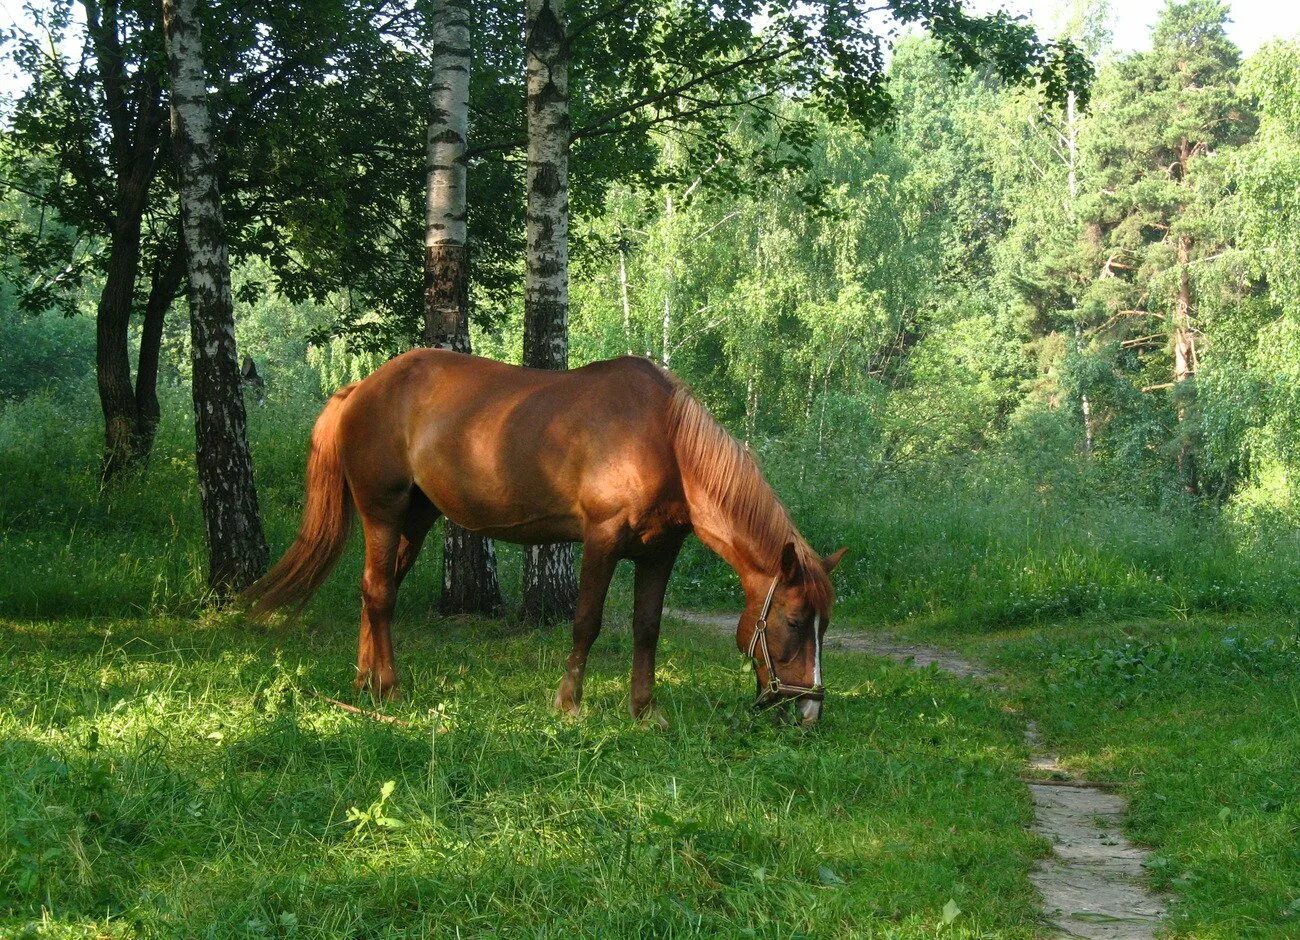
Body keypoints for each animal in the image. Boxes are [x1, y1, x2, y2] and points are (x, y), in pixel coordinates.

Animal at [243, 350, 846, 725]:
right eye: (795, 621)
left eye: (825, 625)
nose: (810, 713)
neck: (666, 440)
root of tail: (359, 389)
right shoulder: (603, 539)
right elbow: (586, 622)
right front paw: (569, 704)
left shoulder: (659, 553)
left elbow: (647, 628)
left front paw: (644, 710)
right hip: (384, 512)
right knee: (380, 594)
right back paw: (388, 687)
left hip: (414, 519)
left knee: (375, 592)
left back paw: (364, 683)